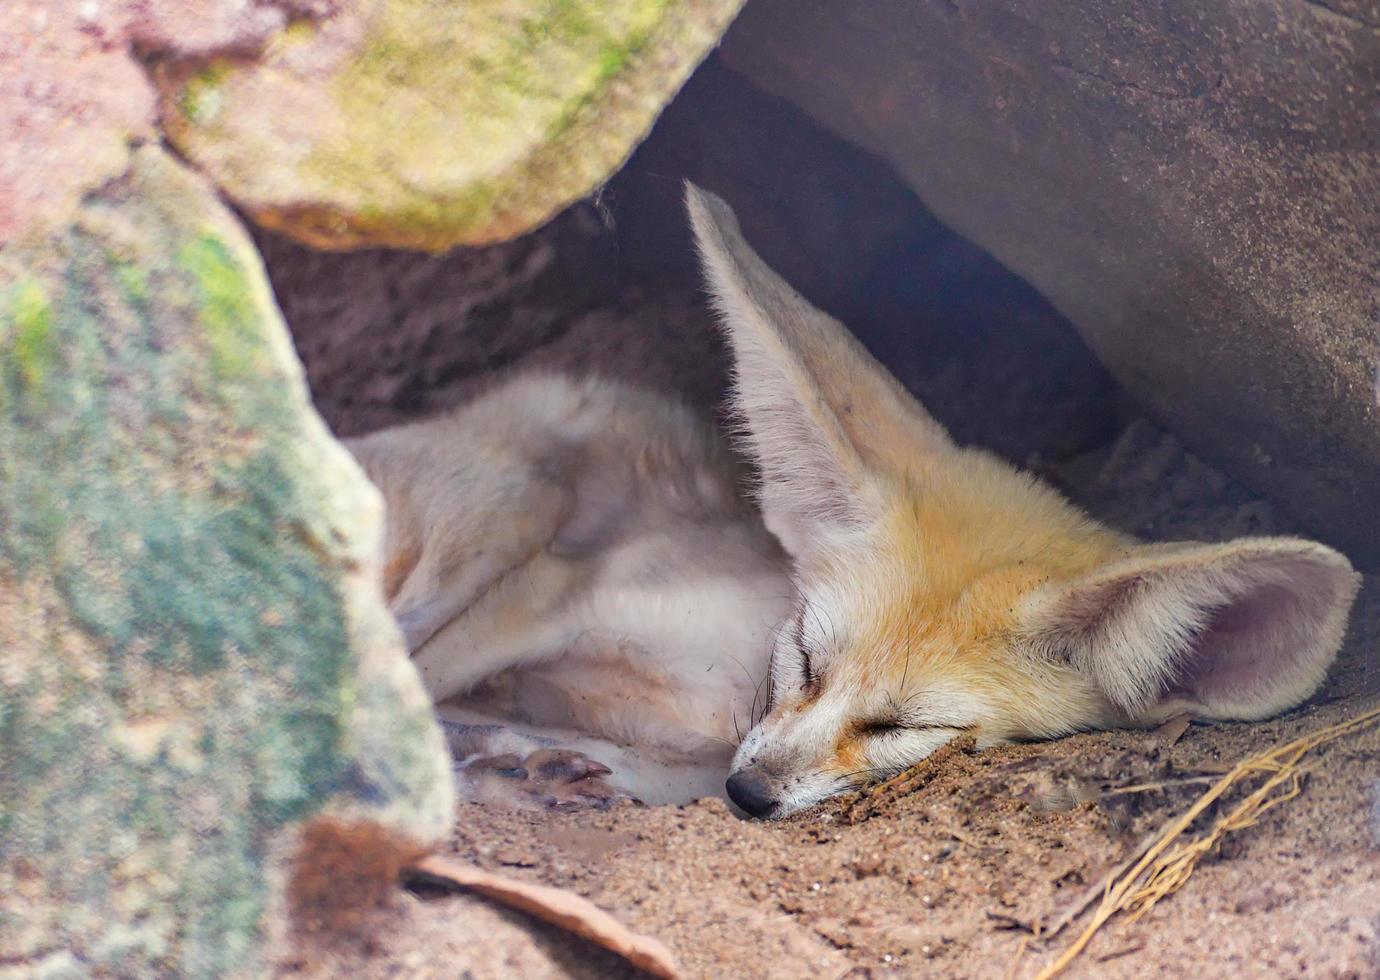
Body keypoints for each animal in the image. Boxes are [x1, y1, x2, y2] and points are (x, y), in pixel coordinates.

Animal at [345, 184, 1357, 822]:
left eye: (904, 729)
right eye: (804, 658)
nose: (750, 797)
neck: (719, 693)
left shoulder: (684, 755)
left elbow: (544, 741)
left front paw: (529, 767)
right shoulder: (562, 591)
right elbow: (421, 681)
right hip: (506, 511)